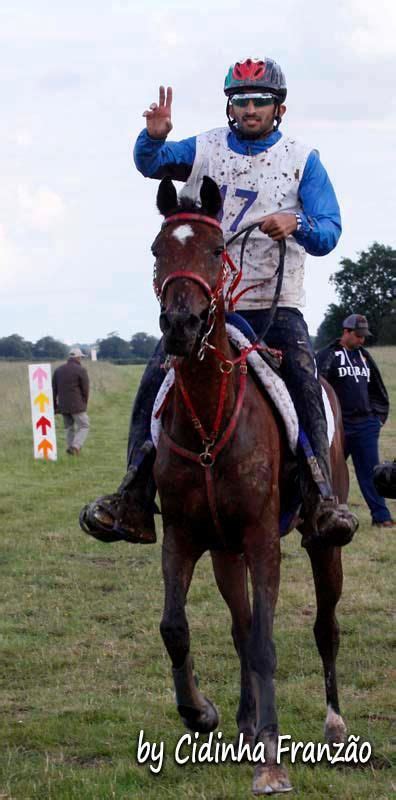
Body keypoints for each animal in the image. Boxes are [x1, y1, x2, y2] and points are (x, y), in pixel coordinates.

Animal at [150, 175, 348, 792]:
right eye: (157, 251)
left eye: (217, 251)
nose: (181, 326)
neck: (211, 423)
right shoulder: (185, 538)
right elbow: (177, 628)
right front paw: (201, 712)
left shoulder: (263, 541)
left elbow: (265, 643)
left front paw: (272, 764)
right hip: (224, 552)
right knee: (237, 628)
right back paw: (243, 721)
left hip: (321, 545)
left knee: (325, 626)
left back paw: (334, 723)